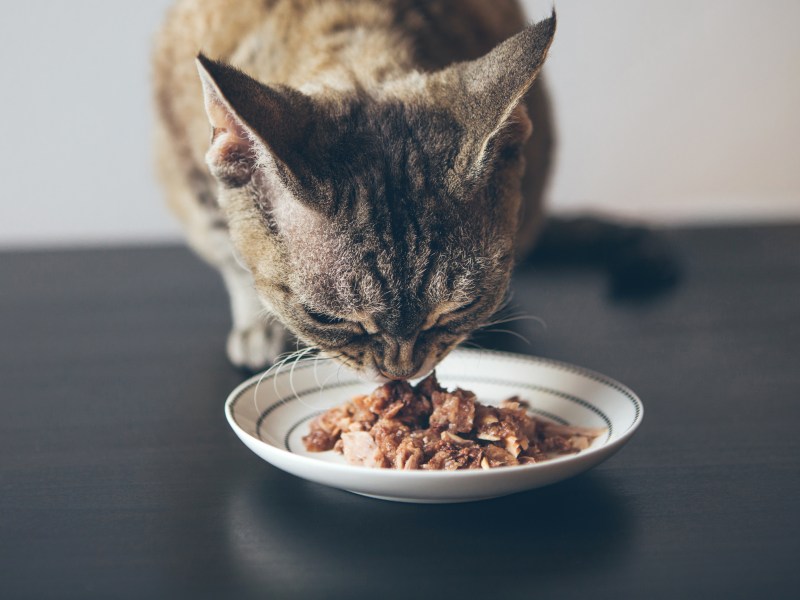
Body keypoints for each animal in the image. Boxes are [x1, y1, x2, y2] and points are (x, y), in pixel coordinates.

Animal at [152, 0, 556, 378]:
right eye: (327, 319)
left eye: (459, 308)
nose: (401, 372)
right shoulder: (190, 173)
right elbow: (231, 254)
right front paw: (257, 326)